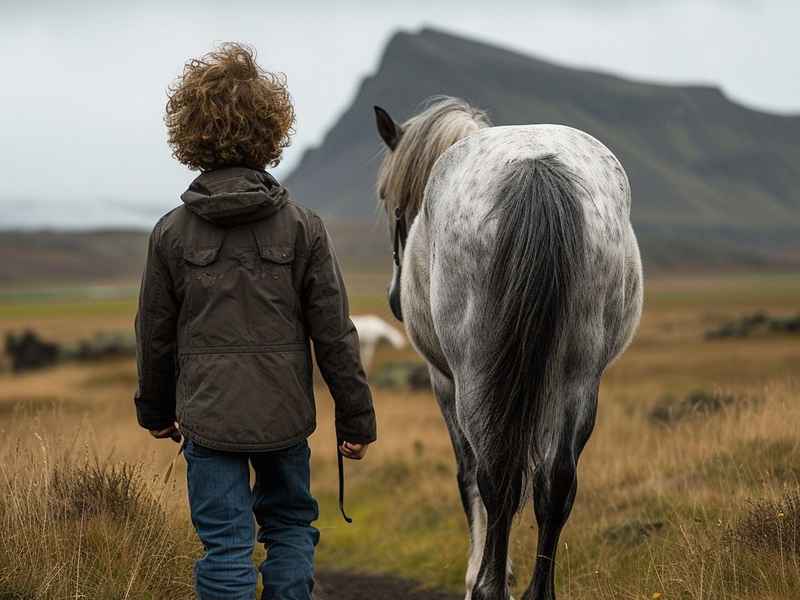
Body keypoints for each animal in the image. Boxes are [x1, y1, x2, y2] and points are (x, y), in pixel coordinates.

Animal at [373, 97, 643, 600]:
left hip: (476, 377)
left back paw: (488, 587)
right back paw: (538, 591)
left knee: (494, 476)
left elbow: (468, 478)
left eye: (385, 196)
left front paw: (478, 574)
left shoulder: (444, 382)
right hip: (578, 378)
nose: (395, 297)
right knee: (555, 481)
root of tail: (537, 169)